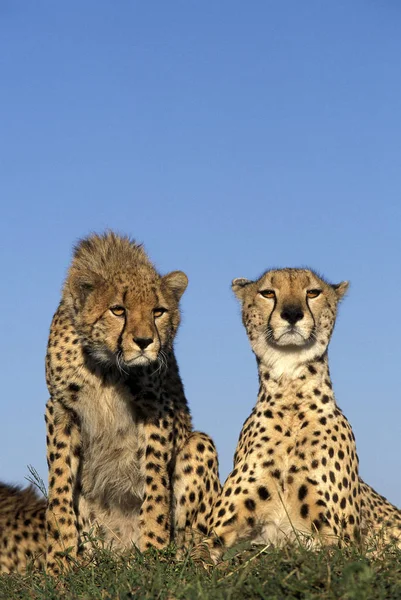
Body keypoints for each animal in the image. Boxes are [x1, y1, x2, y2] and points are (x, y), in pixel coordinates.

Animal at [0, 232, 220, 576]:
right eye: (118, 310)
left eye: (158, 311)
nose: (144, 341)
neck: (108, 366)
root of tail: (121, 556)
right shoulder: (61, 410)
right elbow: (60, 485)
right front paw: (60, 557)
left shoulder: (156, 410)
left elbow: (156, 485)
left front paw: (154, 548)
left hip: (199, 444)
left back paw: (188, 559)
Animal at [203, 268, 400, 564]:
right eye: (268, 292)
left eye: (313, 292)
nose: (292, 313)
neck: (290, 395)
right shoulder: (217, 535)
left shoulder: (338, 544)